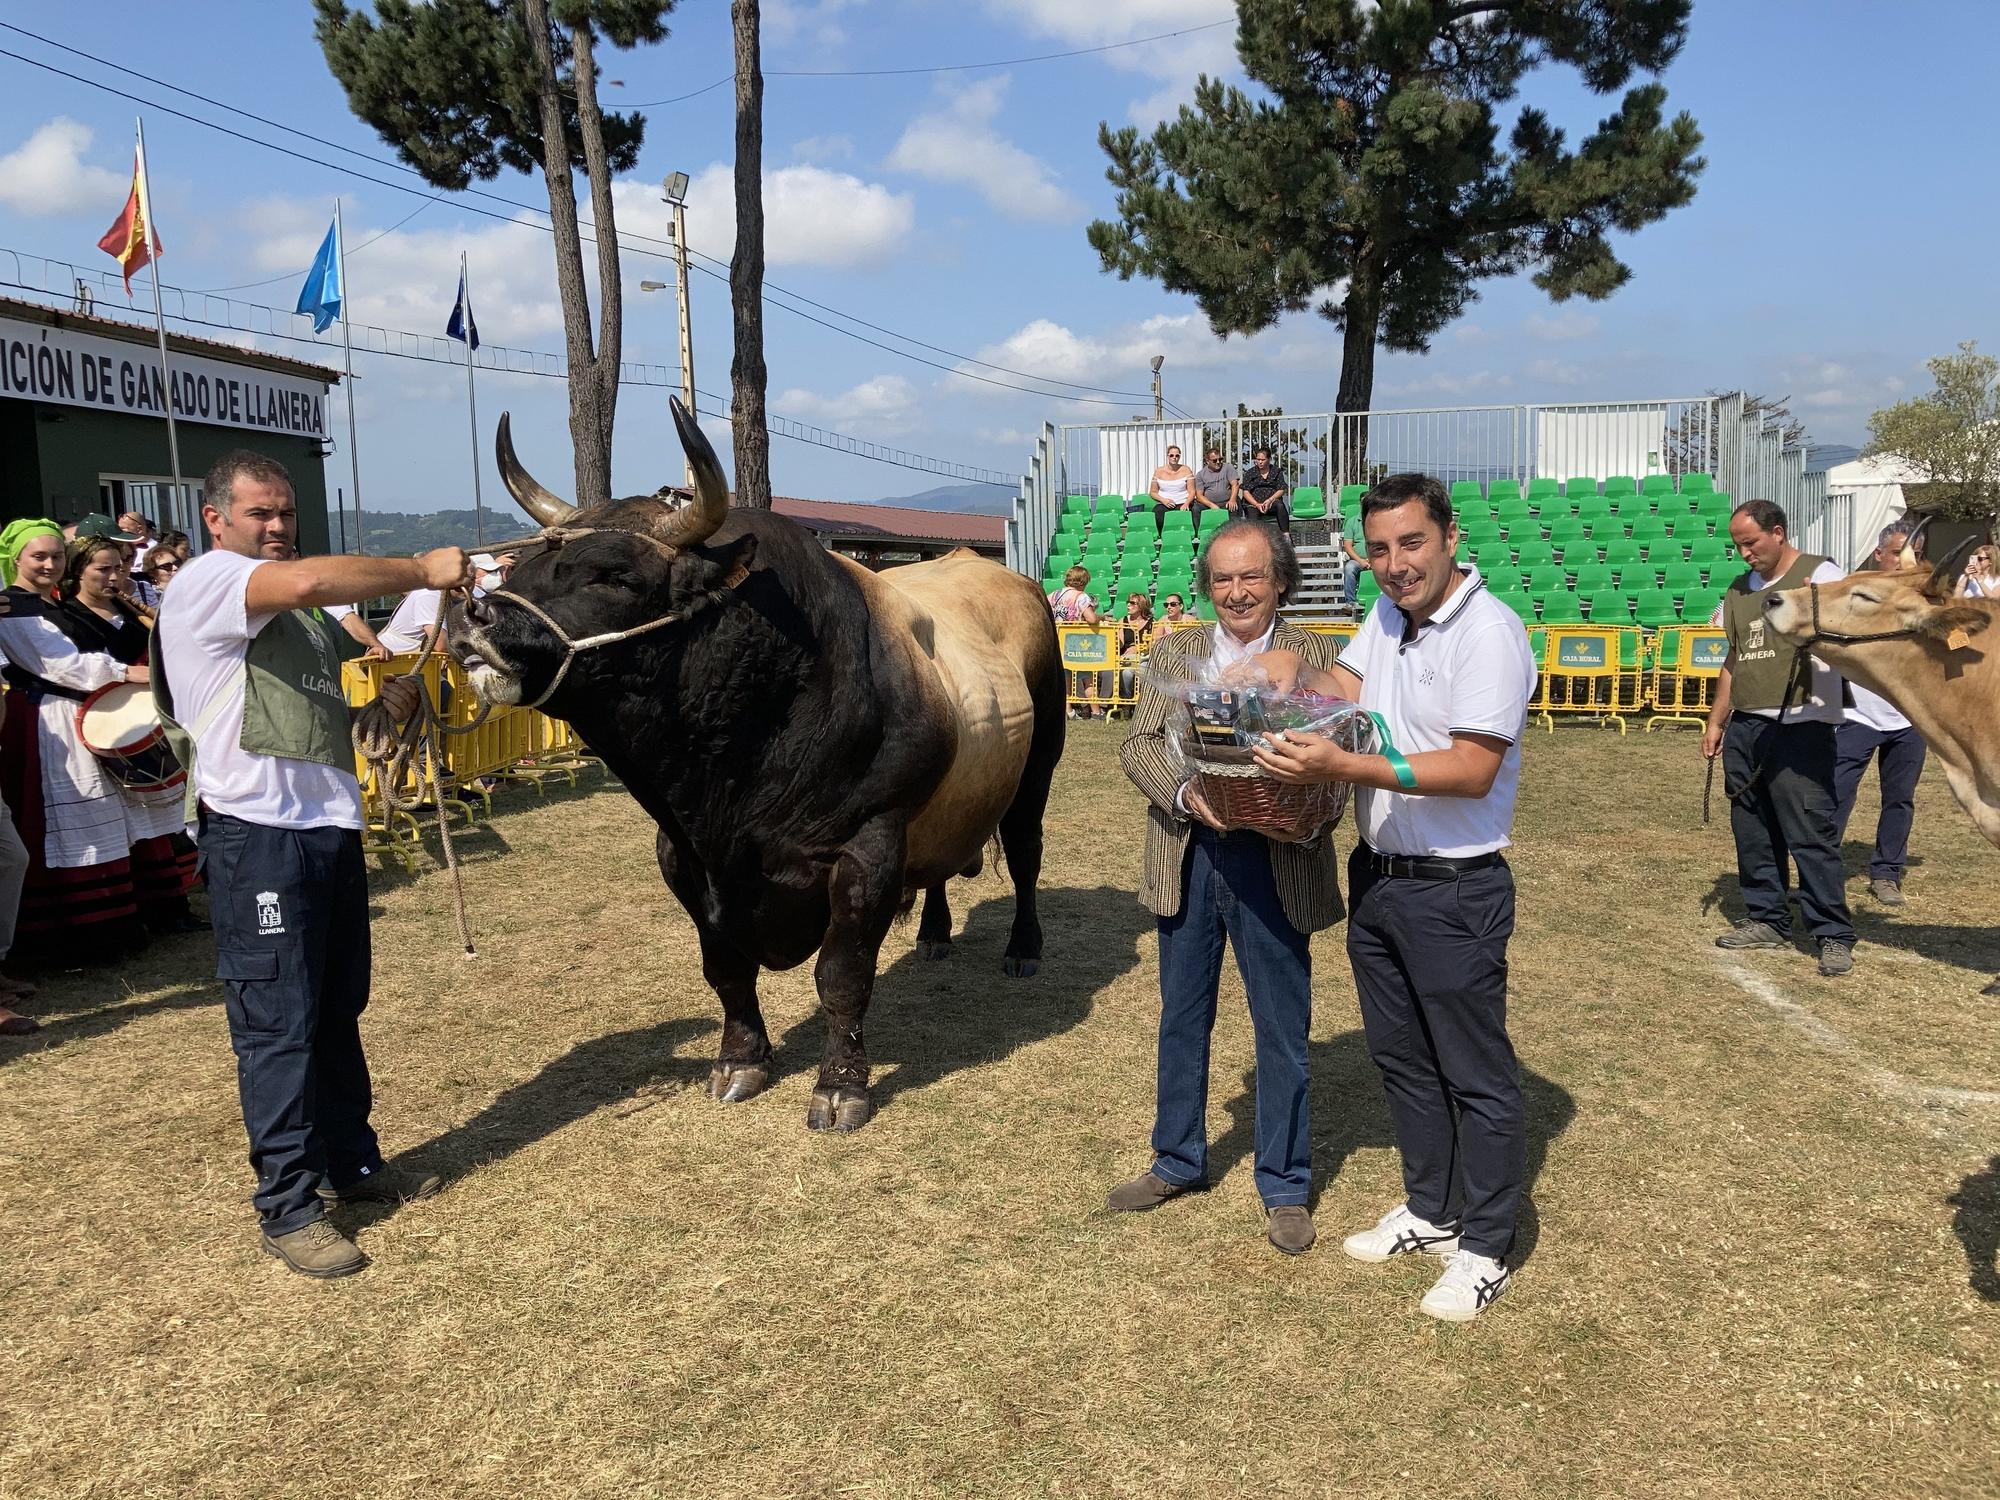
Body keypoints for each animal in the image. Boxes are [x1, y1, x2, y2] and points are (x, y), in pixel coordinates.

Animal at [448, 406, 1072, 1136]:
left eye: (615, 576)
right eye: (523, 563)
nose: (472, 615)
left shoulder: (868, 843)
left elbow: (842, 975)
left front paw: (840, 1088)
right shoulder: (682, 855)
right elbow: (724, 968)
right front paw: (741, 1060)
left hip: (1038, 765)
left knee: (1025, 854)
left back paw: (1023, 948)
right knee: (940, 862)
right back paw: (934, 934)